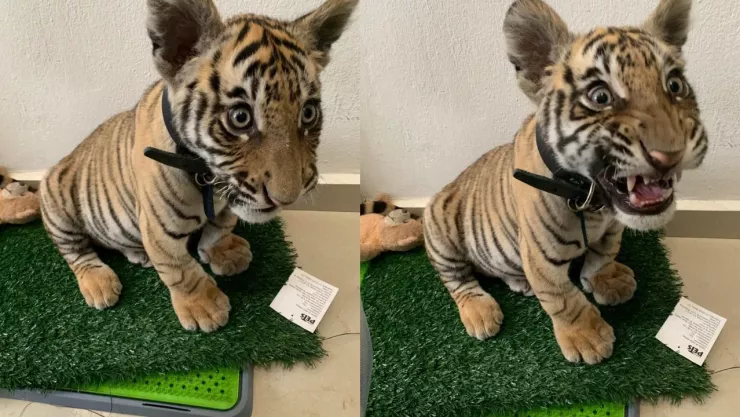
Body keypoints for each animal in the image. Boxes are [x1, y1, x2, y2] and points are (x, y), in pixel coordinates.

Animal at [38, 0, 358, 333]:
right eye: (240, 117)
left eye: (308, 113)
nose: (287, 198)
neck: (207, 178)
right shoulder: (159, 227)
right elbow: (179, 269)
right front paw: (204, 307)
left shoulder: (226, 204)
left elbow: (220, 227)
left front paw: (225, 251)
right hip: (57, 200)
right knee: (75, 251)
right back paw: (99, 283)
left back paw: (138, 254)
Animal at [423, 0, 707, 365]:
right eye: (600, 97)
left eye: (674, 85)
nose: (670, 154)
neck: (593, 202)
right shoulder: (540, 255)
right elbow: (562, 298)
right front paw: (587, 338)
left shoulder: (611, 229)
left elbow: (603, 254)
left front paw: (609, 279)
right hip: (441, 224)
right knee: (457, 279)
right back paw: (480, 312)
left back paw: (519, 282)